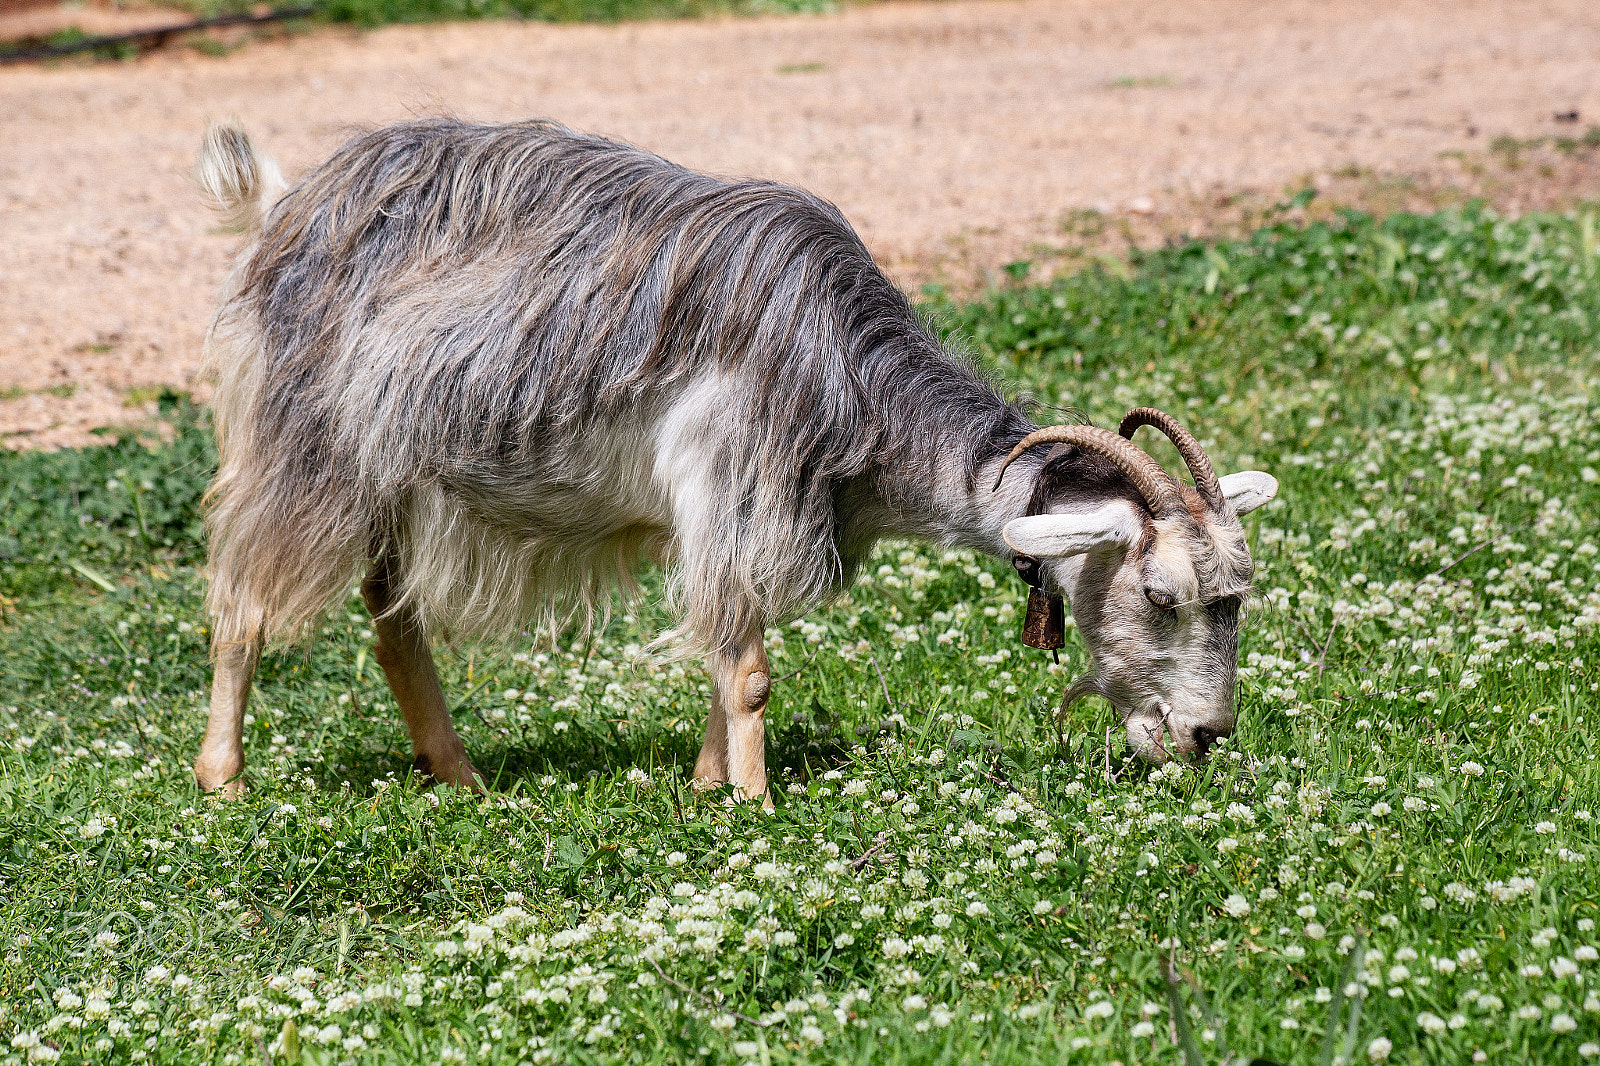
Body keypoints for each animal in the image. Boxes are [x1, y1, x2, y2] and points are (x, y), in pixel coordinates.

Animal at [191, 117, 1277, 804]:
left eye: (1238, 595)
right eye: (1161, 596)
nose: (1205, 736)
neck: (848, 377)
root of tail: (285, 206)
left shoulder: (732, 519)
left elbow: (726, 649)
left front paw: (709, 782)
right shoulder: (733, 482)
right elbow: (747, 666)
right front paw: (753, 805)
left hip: (389, 483)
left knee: (395, 627)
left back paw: (461, 779)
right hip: (304, 450)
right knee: (242, 607)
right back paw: (223, 780)